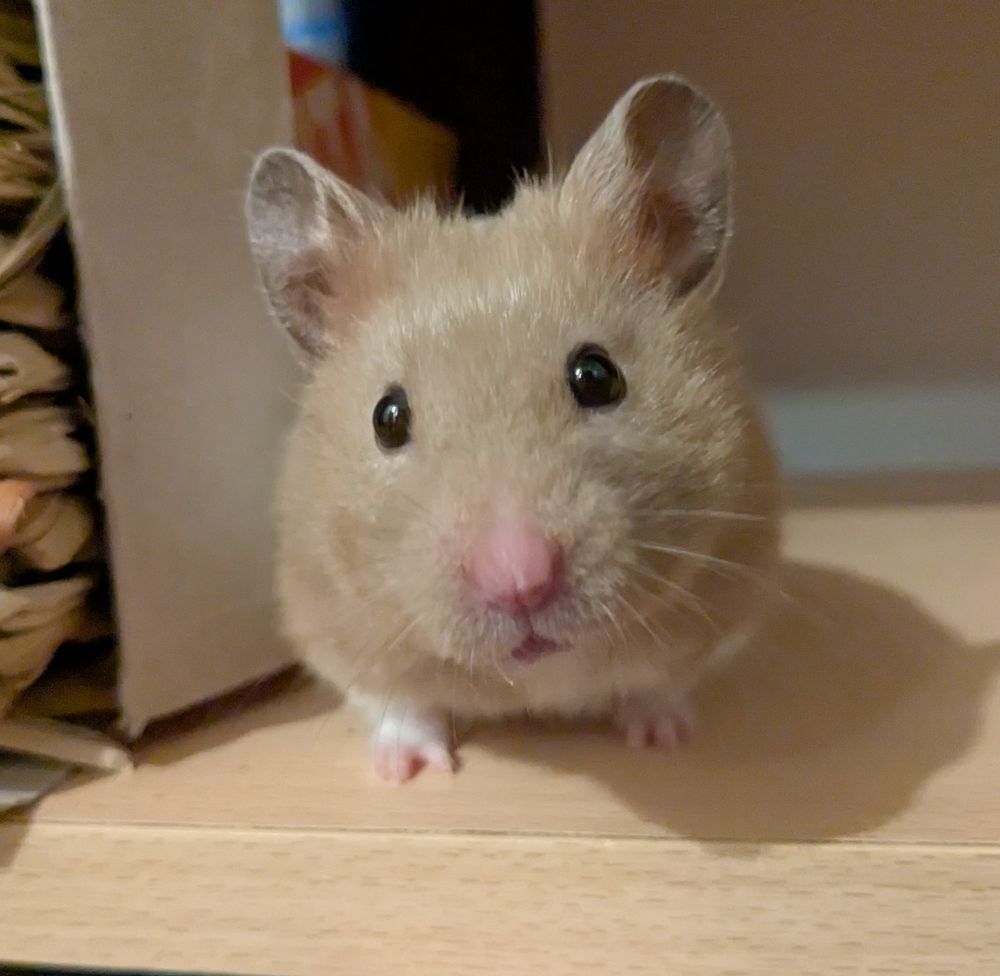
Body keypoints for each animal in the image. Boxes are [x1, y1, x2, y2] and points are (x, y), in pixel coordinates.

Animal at [245, 75, 781, 782]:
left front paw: (663, 738)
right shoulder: (328, 613)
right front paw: (409, 771)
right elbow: (397, 699)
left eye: (597, 376)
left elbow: (659, 680)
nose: (518, 582)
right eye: (387, 418)